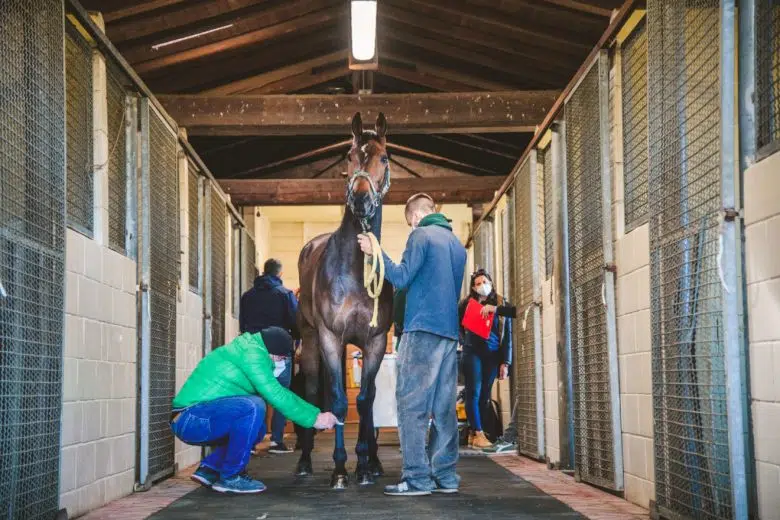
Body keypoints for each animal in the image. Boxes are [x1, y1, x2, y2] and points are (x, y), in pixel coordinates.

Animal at [294, 112, 394, 489]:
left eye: (384, 158)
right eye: (350, 157)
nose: (362, 201)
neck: (355, 268)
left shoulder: (374, 341)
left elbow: (365, 401)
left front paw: (365, 465)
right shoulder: (330, 336)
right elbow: (337, 401)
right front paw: (340, 469)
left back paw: (374, 462)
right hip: (312, 340)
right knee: (312, 393)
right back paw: (305, 462)